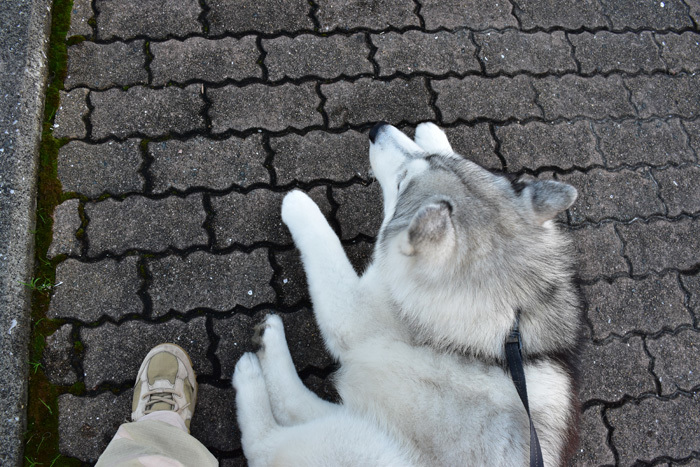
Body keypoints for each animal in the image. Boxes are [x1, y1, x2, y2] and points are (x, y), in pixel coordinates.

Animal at [232, 122, 584, 466]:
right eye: (430, 159)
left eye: (401, 185)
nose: (377, 128)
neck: (510, 306)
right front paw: (431, 132)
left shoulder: (352, 315)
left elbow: (324, 242)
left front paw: (299, 205)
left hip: (359, 444)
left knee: (265, 444)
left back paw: (253, 369)